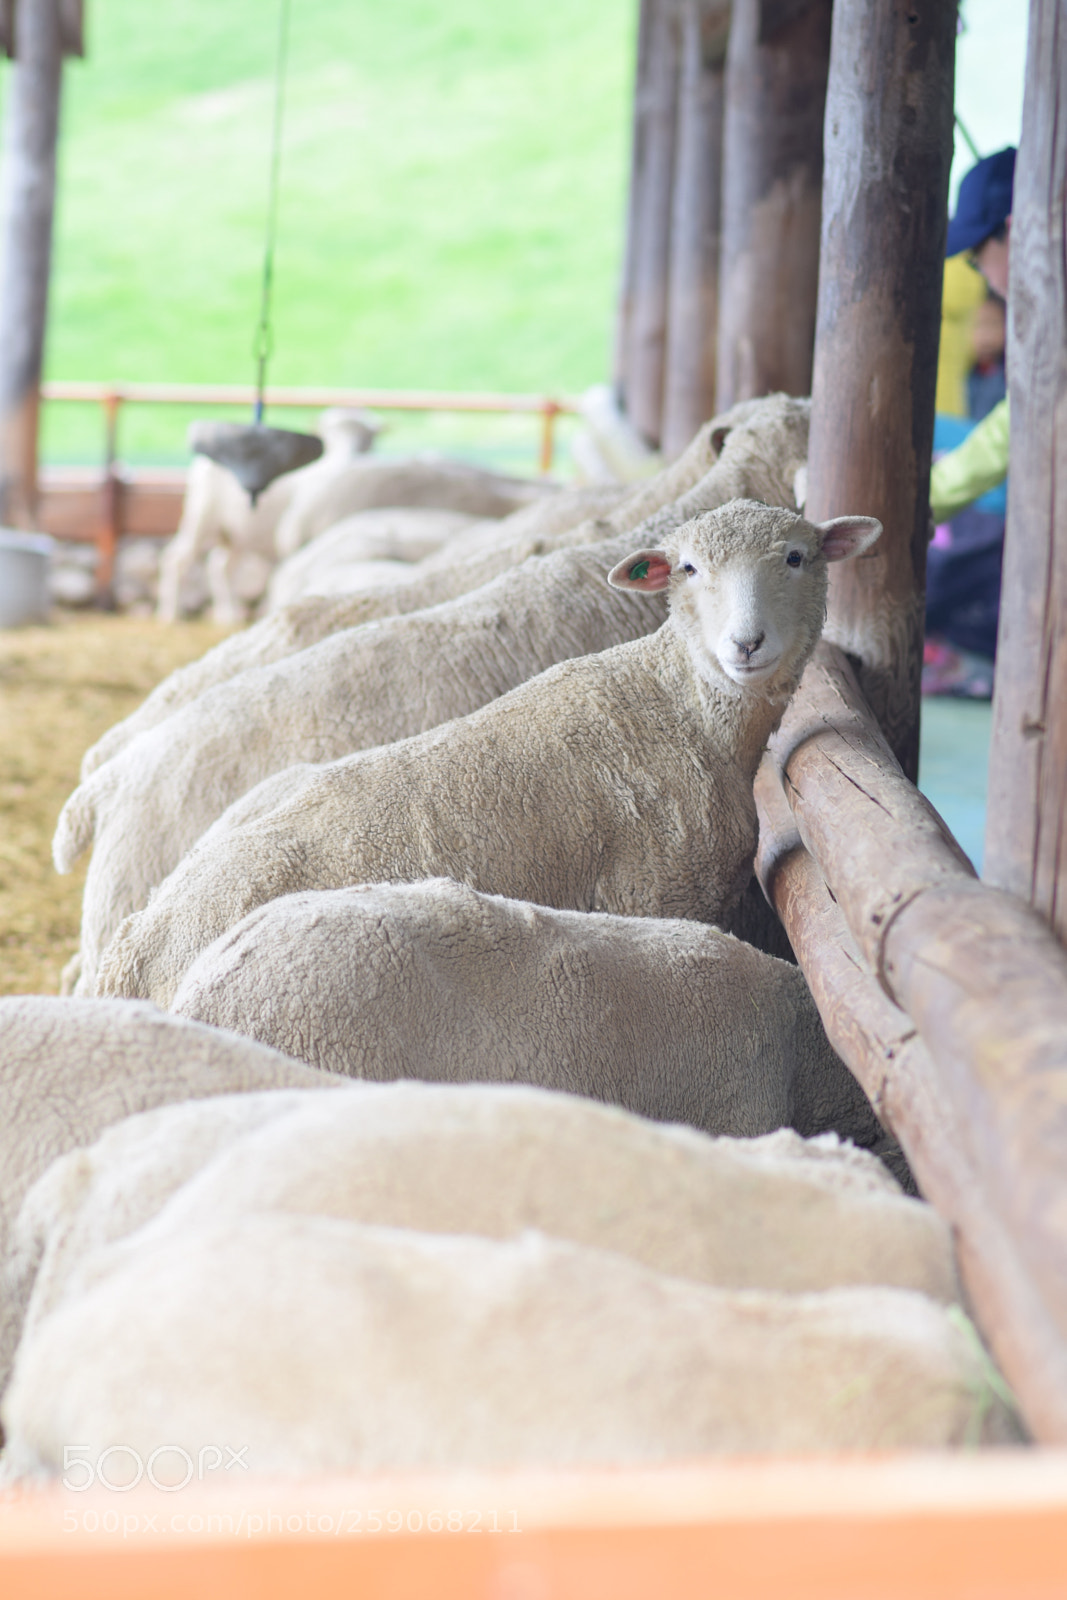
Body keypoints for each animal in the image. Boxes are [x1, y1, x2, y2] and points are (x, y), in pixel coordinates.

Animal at [156, 409, 380, 626]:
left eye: (368, 441)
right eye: (330, 437)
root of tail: (202, 463)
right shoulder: (298, 538)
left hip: (236, 534)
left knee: (221, 567)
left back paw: (228, 614)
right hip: (201, 520)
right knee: (176, 559)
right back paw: (172, 614)